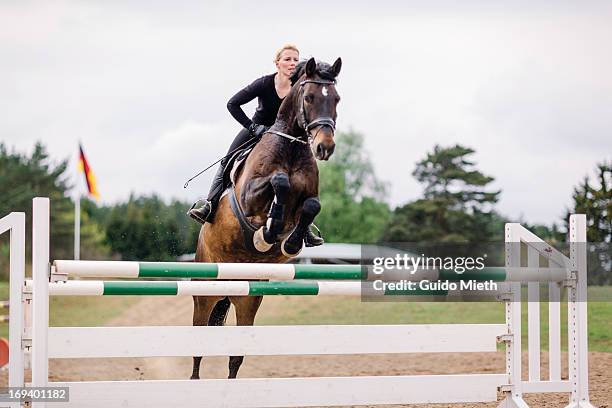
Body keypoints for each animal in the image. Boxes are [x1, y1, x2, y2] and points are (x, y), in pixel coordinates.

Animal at [191, 57, 342, 380]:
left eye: (336, 99)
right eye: (309, 98)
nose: (324, 147)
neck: (292, 146)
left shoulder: (308, 199)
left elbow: (311, 205)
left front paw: (290, 241)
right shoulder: (249, 196)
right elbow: (279, 182)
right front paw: (268, 233)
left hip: (248, 297)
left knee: (236, 356)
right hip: (205, 291)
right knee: (197, 345)